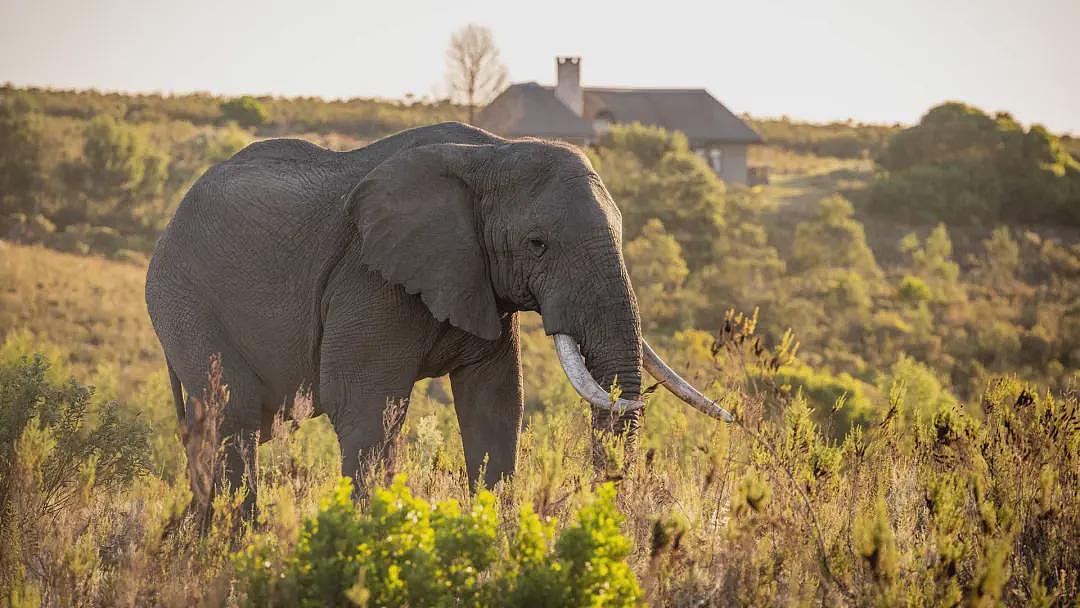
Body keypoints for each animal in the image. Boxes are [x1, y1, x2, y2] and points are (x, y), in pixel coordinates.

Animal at [145, 121, 731, 507]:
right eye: (538, 244)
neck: (490, 154)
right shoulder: (369, 278)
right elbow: (364, 406)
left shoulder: (478, 281)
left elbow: (496, 404)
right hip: (184, 299)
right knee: (233, 417)